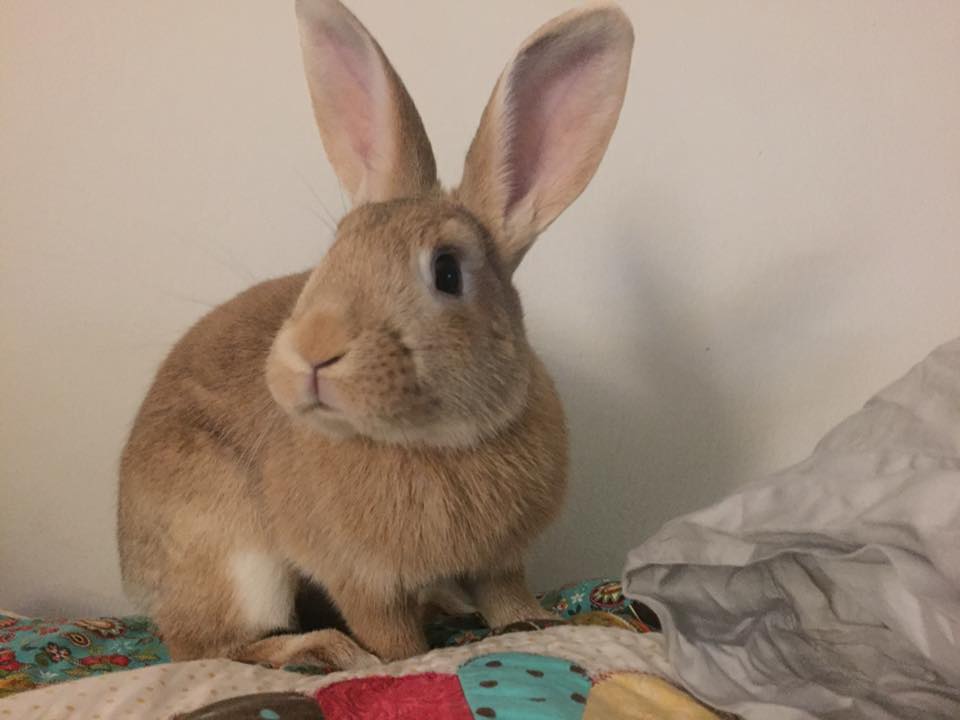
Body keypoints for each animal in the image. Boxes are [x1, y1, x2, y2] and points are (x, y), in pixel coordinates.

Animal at [117, 0, 633, 669]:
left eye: (447, 271)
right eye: (335, 250)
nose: (313, 351)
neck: (432, 443)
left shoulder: (500, 561)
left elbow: (506, 598)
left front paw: (532, 624)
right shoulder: (358, 577)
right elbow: (392, 640)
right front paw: (402, 656)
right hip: (233, 555)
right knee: (209, 646)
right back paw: (321, 650)